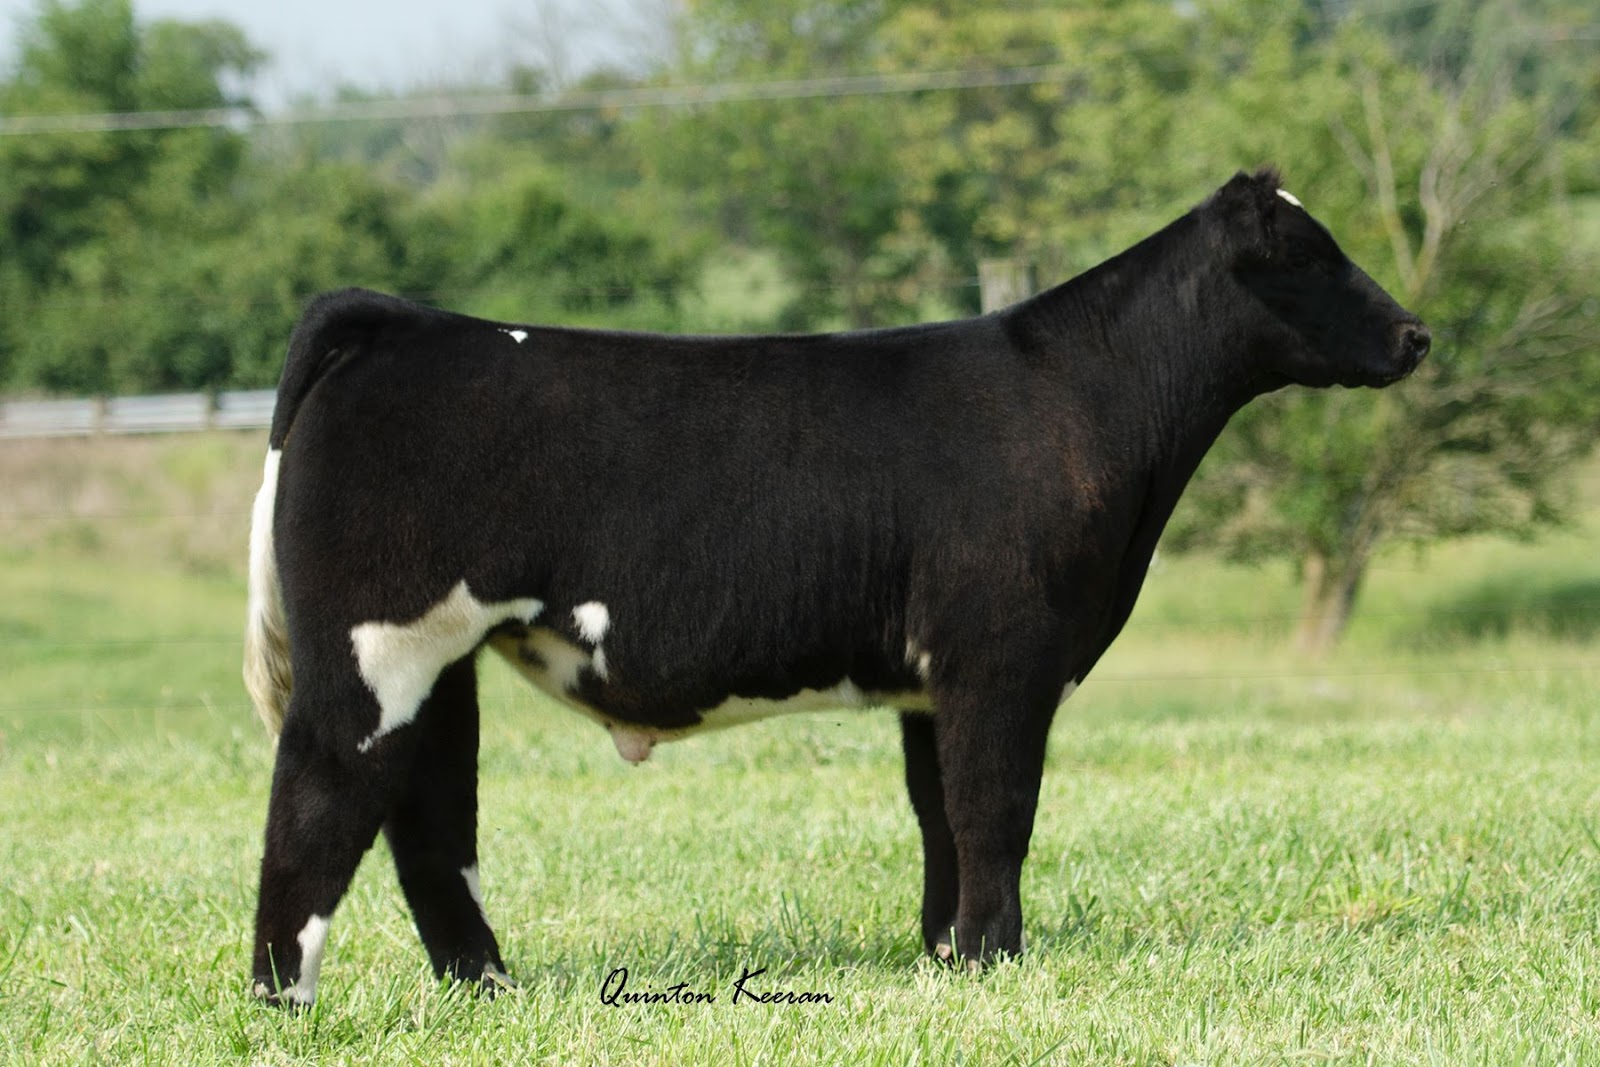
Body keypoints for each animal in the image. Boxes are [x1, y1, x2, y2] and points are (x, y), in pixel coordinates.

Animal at [242, 168, 1429, 1006]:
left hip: (444, 658)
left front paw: (949, 955)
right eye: (1312, 254)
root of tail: (404, 320)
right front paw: (997, 958)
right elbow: (996, 806)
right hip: (375, 645)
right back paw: (285, 998)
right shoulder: (1003, 654)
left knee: (430, 815)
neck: (1087, 403)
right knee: (318, 794)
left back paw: (487, 985)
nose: (1417, 332)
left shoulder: (931, 676)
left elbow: (939, 813)